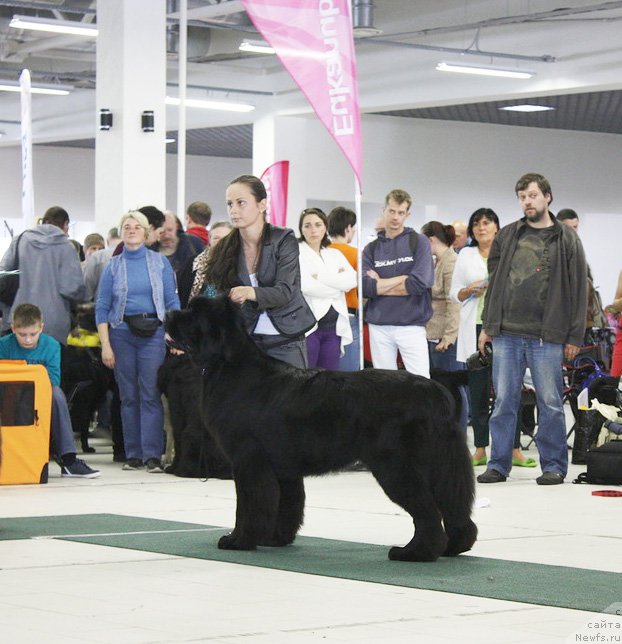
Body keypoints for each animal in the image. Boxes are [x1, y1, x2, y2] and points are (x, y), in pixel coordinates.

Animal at [166, 296, 478, 560]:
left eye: (194, 314)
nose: (169, 313)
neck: (229, 366)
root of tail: (435, 391)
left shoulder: (248, 461)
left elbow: (250, 504)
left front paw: (239, 540)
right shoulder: (283, 468)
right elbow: (287, 504)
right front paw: (276, 538)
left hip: (396, 466)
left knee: (427, 511)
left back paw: (414, 553)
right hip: (441, 466)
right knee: (454, 507)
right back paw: (452, 547)